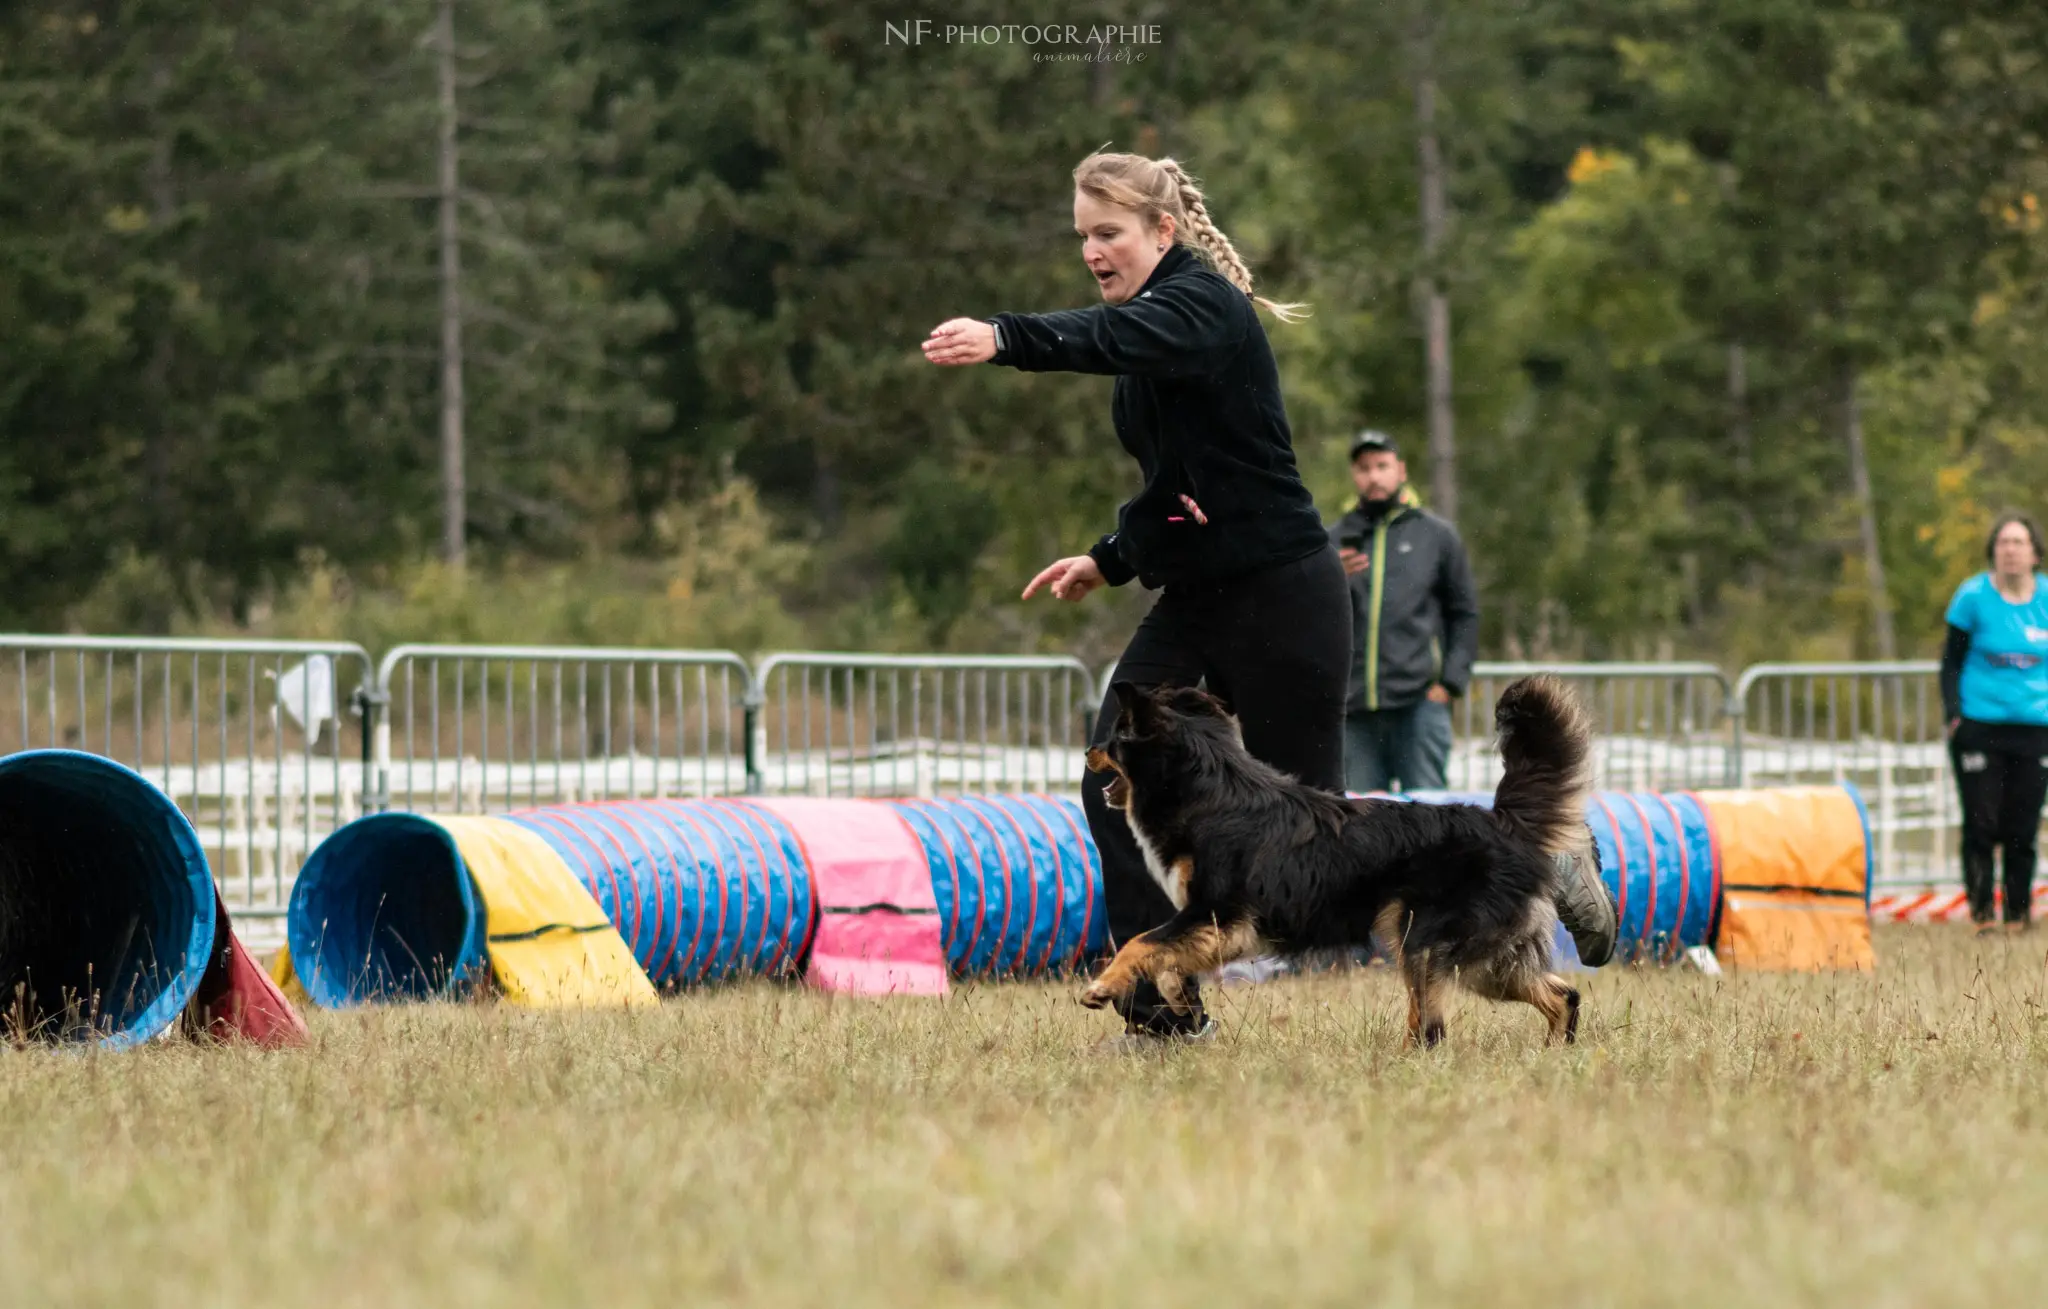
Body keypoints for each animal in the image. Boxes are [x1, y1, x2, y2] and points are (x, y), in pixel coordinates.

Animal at [1081, 680, 1589, 1048]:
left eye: (1116, 734)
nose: (1087, 751)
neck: (1211, 792)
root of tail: (1503, 823)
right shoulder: (1214, 924)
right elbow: (1164, 957)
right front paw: (1180, 1001)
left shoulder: (1220, 914)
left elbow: (1142, 942)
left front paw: (1100, 989)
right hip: (1485, 960)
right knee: (1563, 995)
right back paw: (1553, 1054)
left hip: (1423, 942)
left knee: (1431, 1029)